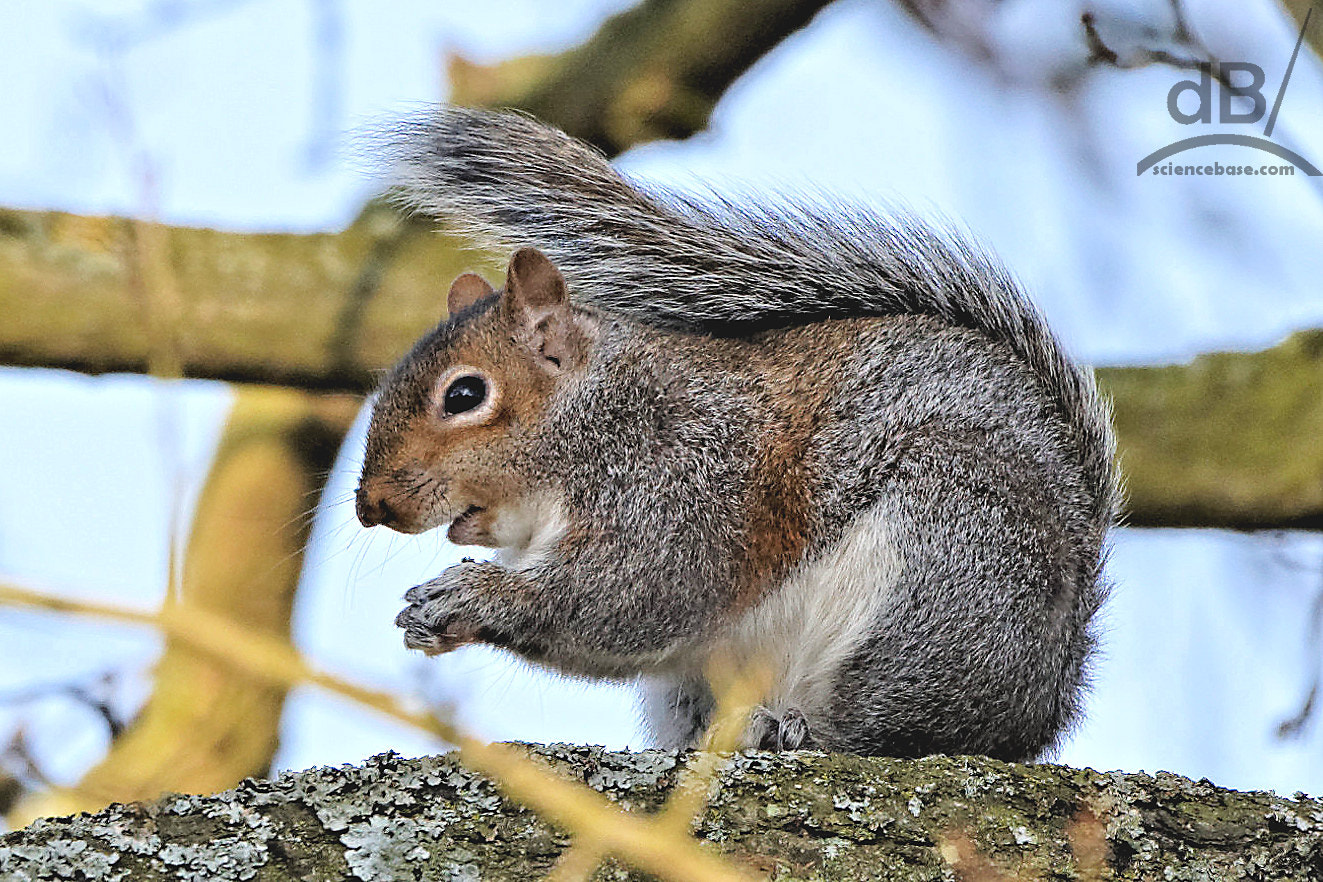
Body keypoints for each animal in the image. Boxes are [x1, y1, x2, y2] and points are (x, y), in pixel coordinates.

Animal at [354, 107, 1119, 759]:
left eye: (464, 394)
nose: (370, 505)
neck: (597, 416)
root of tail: (1048, 694)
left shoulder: (689, 475)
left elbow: (634, 595)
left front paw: (472, 596)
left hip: (947, 561)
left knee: (891, 728)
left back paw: (797, 730)